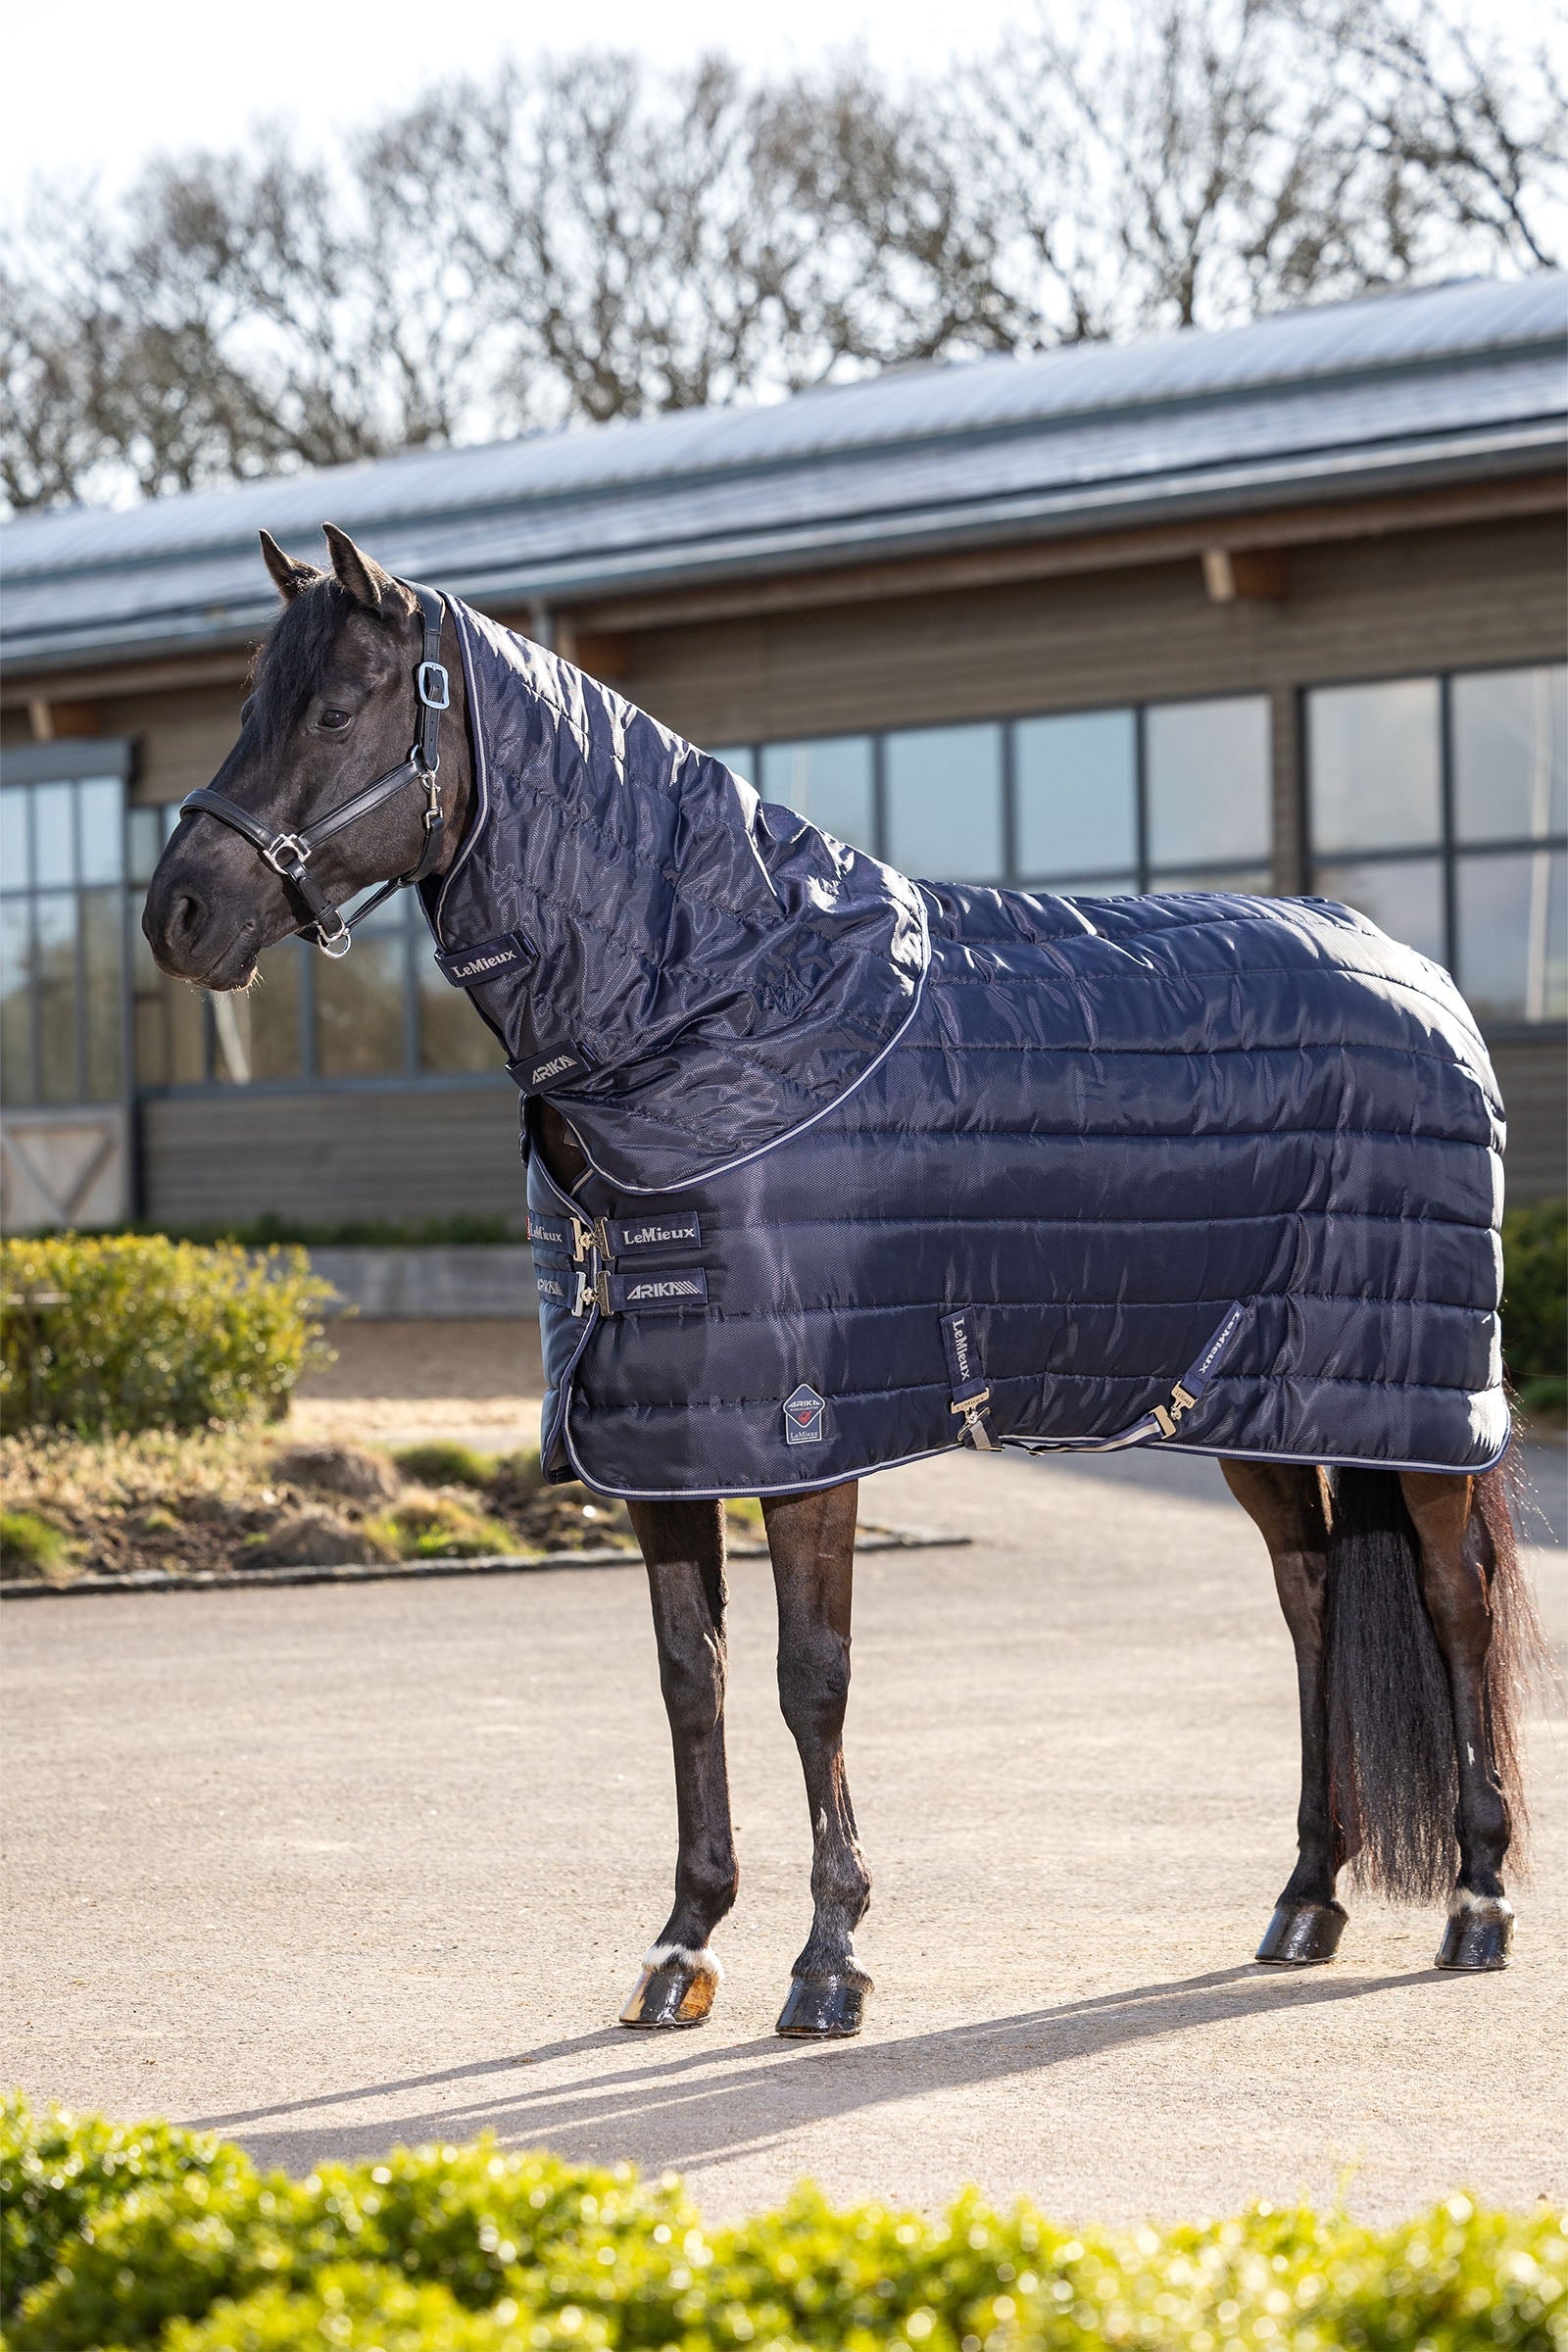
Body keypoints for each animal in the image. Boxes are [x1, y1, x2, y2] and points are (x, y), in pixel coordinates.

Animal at [143, 524, 1543, 2041]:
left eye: (335, 711)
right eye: (248, 706)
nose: (179, 913)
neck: (729, 1005)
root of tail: (1417, 978)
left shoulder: (808, 1432)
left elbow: (808, 1680)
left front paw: (829, 1960)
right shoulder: (661, 1442)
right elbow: (687, 1683)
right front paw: (682, 1944)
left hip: (1414, 1406)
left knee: (1455, 1601)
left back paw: (1477, 1901)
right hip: (1259, 1399)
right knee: (1311, 1598)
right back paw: (1304, 1898)